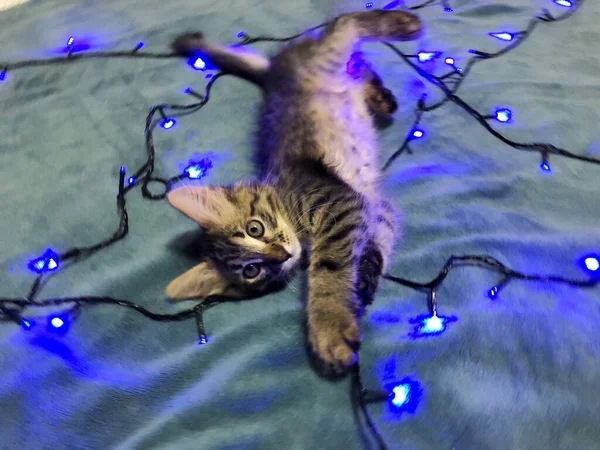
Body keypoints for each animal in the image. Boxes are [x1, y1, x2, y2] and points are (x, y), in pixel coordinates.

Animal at [166, 10, 424, 372]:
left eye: (255, 228)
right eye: (252, 271)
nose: (282, 256)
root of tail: (273, 74)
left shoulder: (339, 204)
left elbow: (329, 266)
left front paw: (328, 325)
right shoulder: (372, 207)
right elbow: (375, 245)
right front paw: (363, 281)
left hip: (329, 52)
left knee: (345, 24)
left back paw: (403, 22)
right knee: (358, 62)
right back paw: (379, 96)